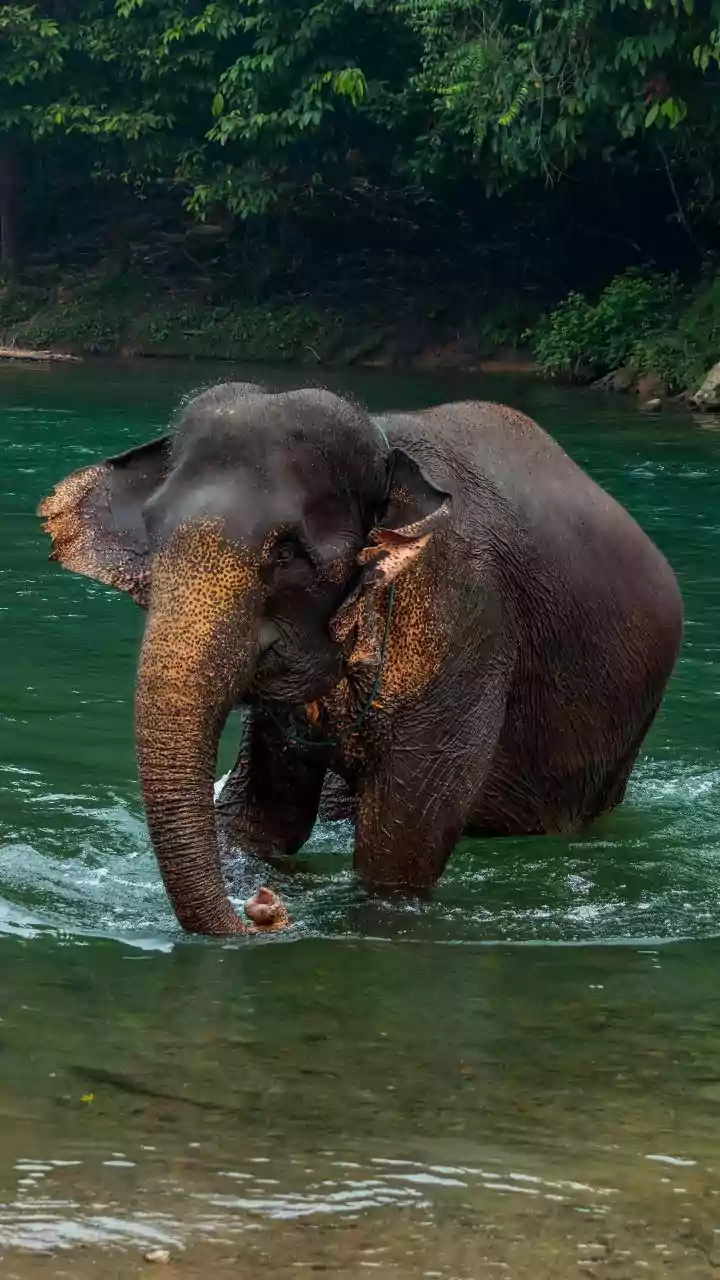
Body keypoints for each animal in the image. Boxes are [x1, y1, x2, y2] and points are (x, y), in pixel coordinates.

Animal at [38, 383, 683, 935]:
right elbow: (263, 816)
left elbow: (400, 847)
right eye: (152, 534)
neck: (386, 449)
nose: (264, 911)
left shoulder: (462, 614)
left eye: (288, 553)